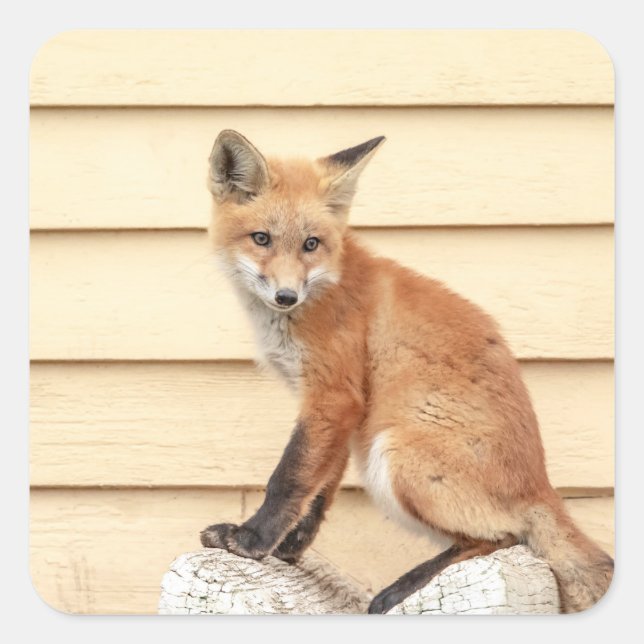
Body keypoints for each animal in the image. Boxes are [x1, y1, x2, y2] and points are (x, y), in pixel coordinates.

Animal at [199, 129, 614, 614]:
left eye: (310, 244)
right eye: (261, 238)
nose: (287, 296)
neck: (322, 289)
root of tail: (542, 487)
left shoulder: (333, 395)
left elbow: (289, 478)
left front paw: (250, 541)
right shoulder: (343, 410)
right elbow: (319, 490)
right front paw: (288, 549)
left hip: (395, 456)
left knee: (505, 537)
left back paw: (404, 585)